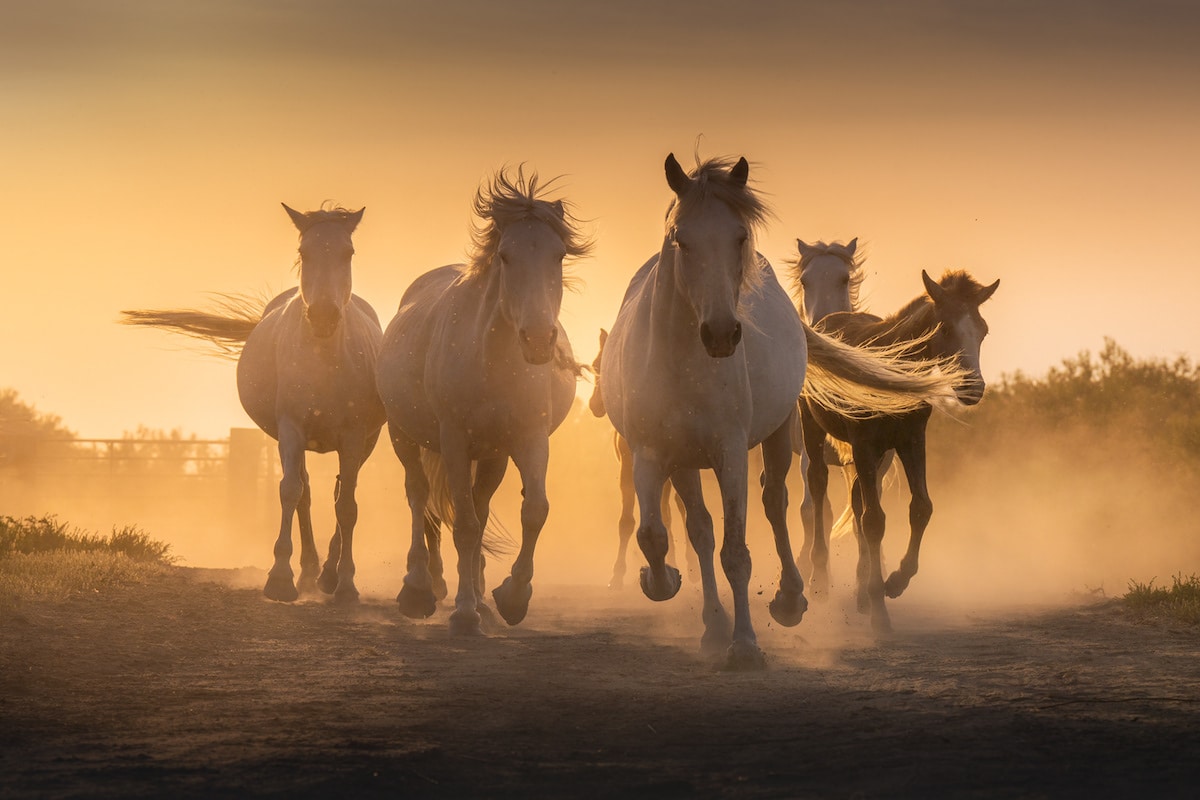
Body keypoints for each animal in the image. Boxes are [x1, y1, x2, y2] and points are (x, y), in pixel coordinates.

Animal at [121, 203, 384, 604]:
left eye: (348, 253)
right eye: (304, 252)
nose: (323, 316)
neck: (324, 360)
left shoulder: (354, 437)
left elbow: (347, 505)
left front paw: (346, 584)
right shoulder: (291, 429)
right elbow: (290, 492)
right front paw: (280, 579)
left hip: (363, 443)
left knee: (340, 493)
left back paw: (326, 574)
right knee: (305, 492)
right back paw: (309, 572)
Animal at [376, 169, 592, 638]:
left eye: (559, 255)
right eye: (506, 256)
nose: (538, 339)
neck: (491, 358)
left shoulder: (529, 438)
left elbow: (534, 511)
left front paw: (511, 596)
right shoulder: (454, 440)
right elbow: (465, 525)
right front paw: (462, 613)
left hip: (493, 455)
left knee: (477, 504)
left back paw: (478, 597)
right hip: (405, 436)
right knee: (420, 498)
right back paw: (418, 588)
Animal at [585, 328, 691, 592]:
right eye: (595, 366)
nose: (594, 405)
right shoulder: (627, 469)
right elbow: (627, 521)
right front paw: (617, 575)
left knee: (679, 509)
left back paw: (690, 565)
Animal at [604, 154, 960, 671]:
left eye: (740, 237)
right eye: (680, 239)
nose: (721, 333)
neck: (682, 360)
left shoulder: (732, 452)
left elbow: (738, 550)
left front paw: (746, 644)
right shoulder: (651, 452)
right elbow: (656, 536)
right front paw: (663, 582)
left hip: (773, 441)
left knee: (776, 504)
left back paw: (790, 599)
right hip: (687, 462)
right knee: (700, 530)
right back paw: (712, 624)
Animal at [796, 268, 1003, 633]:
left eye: (983, 330)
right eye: (945, 328)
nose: (972, 388)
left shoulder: (911, 442)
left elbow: (920, 508)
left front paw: (894, 582)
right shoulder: (864, 444)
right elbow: (874, 520)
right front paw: (880, 610)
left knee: (855, 499)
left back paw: (861, 591)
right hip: (814, 427)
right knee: (819, 485)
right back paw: (820, 581)